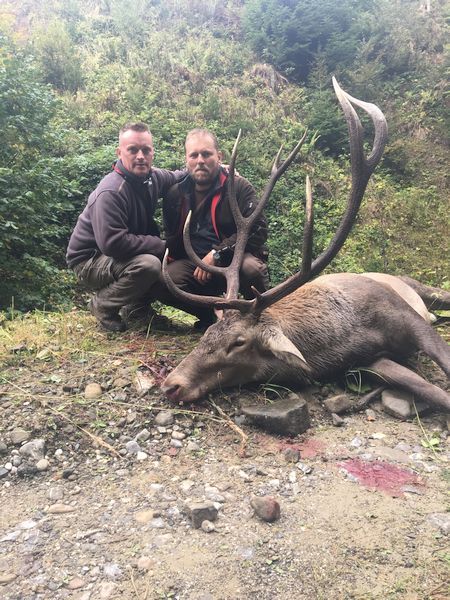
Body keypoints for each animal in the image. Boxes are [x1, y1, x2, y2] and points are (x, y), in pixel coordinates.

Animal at [160, 78, 450, 412]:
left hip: (418, 288)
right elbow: (435, 393)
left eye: (238, 343)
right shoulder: (368, 362)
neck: (346, 336)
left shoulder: (406, 315)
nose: (171, 384)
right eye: (208, 333)